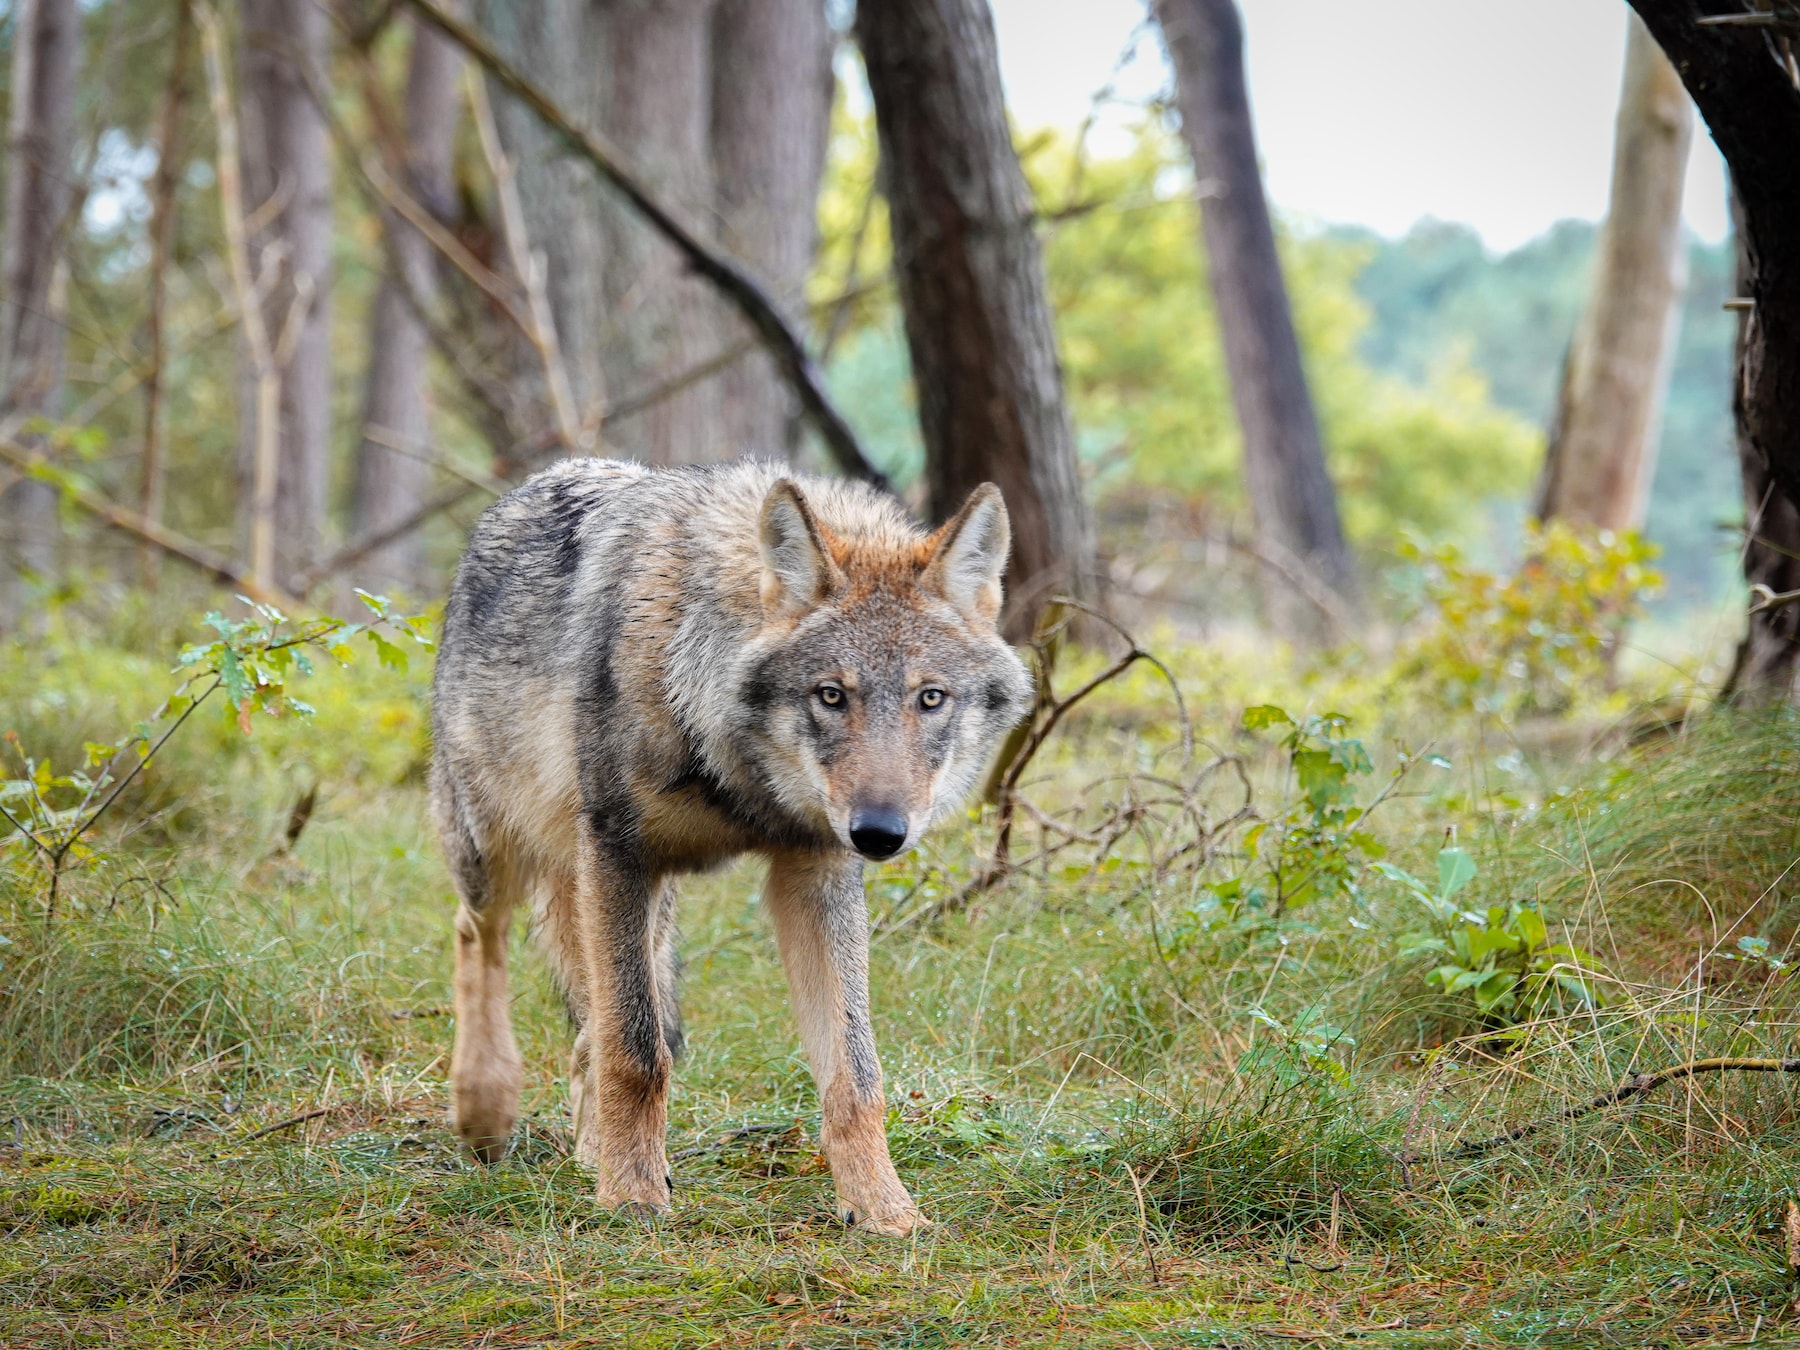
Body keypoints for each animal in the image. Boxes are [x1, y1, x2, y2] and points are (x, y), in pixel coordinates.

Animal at [429, 459, 1031, 1235]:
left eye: (930, 698)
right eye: (831, 695)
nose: (879, 833)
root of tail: (533, 483)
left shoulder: (815, 872)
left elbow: (855, 1075)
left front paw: (884, 1210)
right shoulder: (617, 854)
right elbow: (638, 1052)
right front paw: (632, 1196)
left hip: (638, 901)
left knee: (593, 1021)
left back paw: (591, 1150)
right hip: (500, 847)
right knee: (479, 932)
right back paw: (487, 1108)